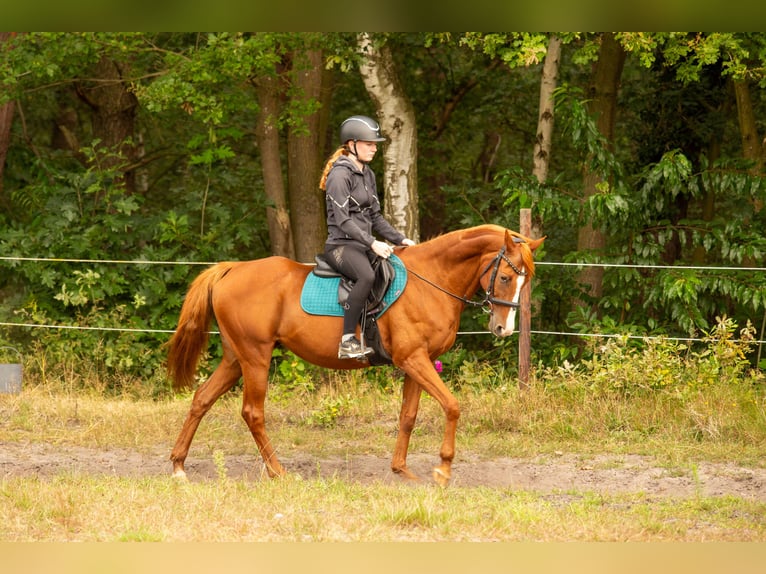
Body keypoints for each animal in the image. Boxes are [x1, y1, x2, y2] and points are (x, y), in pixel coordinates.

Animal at [166, 225, 544, 486]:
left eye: (525, 283)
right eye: (506, 277)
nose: (503, 329)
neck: (430, 281)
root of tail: (232, 269)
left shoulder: (416, 362)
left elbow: (408, 416)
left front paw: (402, 470)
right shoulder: (414, 359)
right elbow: (452, 406)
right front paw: (443, 469)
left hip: (235, 358)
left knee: (201, 399)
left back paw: (179, 465)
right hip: (255, 357)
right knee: (252, 413)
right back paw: (278, 471)